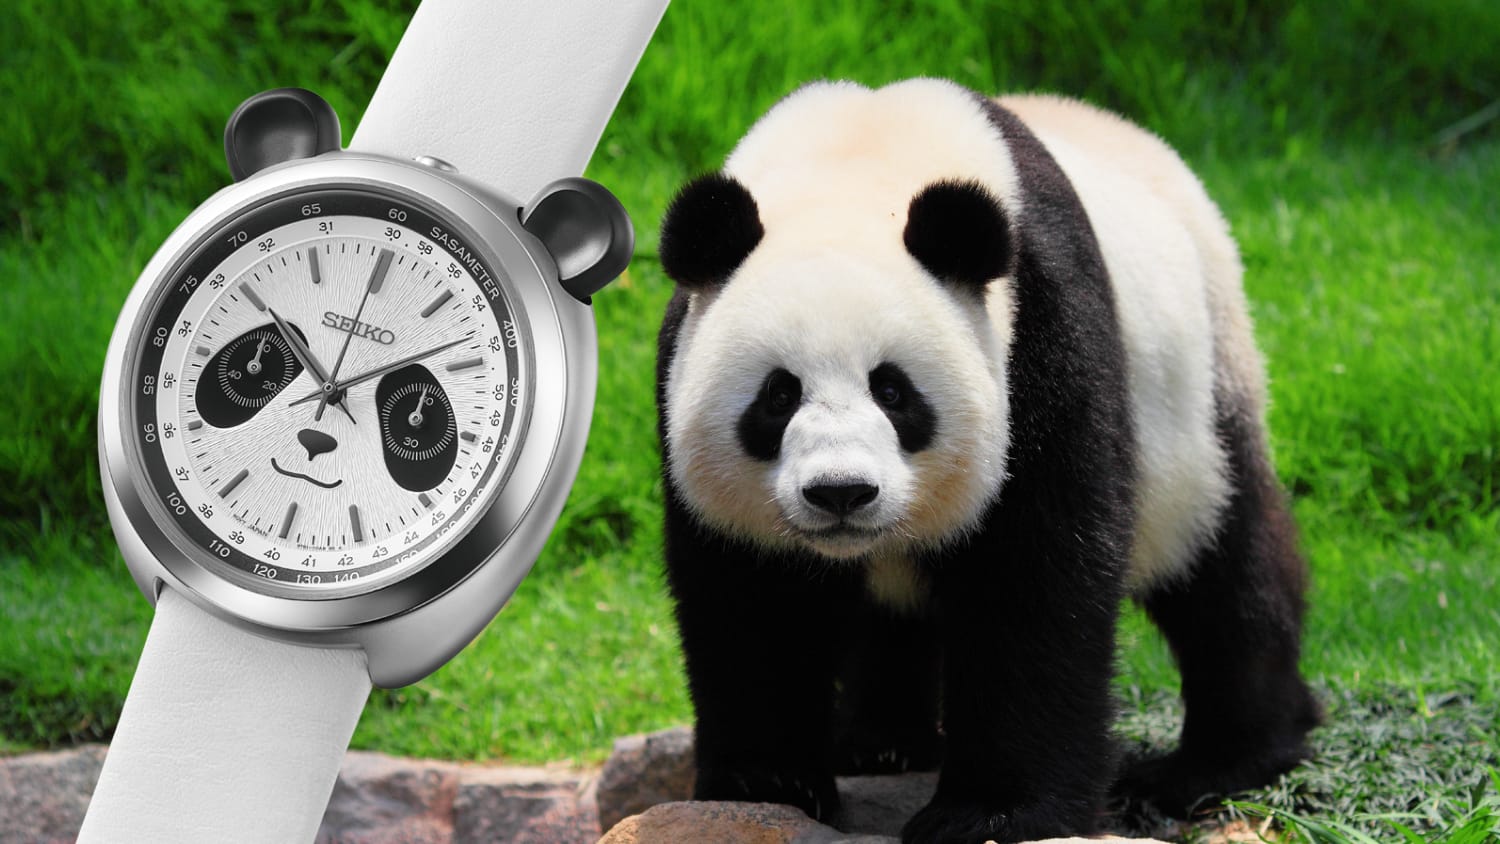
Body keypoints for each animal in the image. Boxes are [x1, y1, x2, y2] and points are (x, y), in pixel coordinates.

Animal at [654, 78, 1320, 844]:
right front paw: (769, 785)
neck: (858, 163)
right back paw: (882, 743)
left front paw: (990, 812)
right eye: (778, 395)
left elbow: (1036, 573)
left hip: (1199, 391)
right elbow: (751, 596)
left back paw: (1220, 762)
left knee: (1225, 562)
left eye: (893, 391)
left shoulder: (1041, 331)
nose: (842, 493)